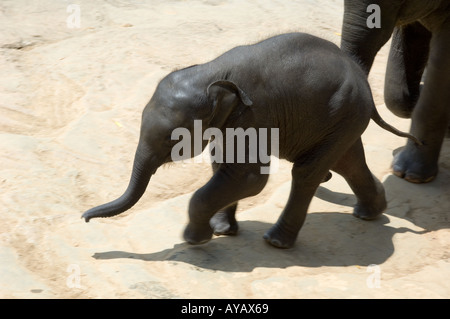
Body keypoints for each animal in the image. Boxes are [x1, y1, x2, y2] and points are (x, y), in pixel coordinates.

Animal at [81, 31, 422, 249]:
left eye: (171, 140)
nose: (83, 218)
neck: (212, 71)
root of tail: (364, 83)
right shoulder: (230, 122)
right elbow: (222, 166)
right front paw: (221, 231)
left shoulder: (255, 115)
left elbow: (248, 177)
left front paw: (195, 239)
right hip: (341, 119)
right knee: (346, 162)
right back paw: (370, 213)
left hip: (343, 114)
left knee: (308, 172)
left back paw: (276, 242)